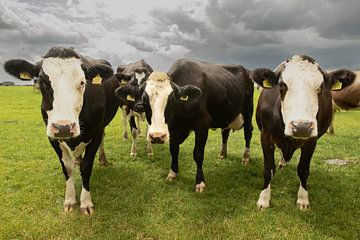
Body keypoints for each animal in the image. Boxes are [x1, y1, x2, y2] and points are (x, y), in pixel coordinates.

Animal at [3, 46, 125, 214]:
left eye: (82, 82)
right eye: (42, 83)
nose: (64, 127)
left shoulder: (96, 132)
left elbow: (87, 166)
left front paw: (86, 202)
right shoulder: (52, 137)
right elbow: (67, 168)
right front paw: (70, 199)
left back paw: (102, 159)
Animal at [115, 59, 253, 192]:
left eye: (171, 101)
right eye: (145, 101)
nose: (157, 137)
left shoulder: (202, 124)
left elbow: (198, 154)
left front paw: (200, 182)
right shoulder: (172, 128)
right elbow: (174, 150)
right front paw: (172, 173)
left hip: (248, 111)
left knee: (248, 133)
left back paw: (246, 158)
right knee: (225, 132)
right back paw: (223, 153)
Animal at [249, 54, 356, 210]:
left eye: (321, 87)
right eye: (282, 85)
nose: (301, 127)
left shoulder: (312, 140)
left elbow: (303, 169)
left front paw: (303, 199)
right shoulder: (266, 135)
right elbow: (268, 168)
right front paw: (264, 199)